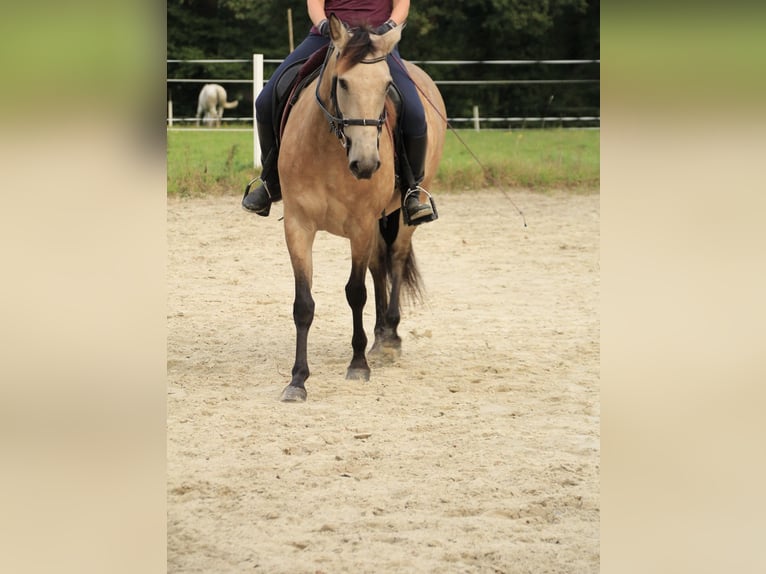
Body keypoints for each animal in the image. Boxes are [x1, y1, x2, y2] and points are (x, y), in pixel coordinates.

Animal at [276, 12, 448, 400]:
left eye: (386, 87)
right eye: (342, 83)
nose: (367, 163)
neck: (328, 151)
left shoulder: (361, 224)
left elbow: (356, 293)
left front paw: (358, 366)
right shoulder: (298, 225)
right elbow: (303, 303)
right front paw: (297, 380)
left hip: (402, 214)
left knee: (395, 259)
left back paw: (390, 339)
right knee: (378, 265)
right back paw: (380, 336)